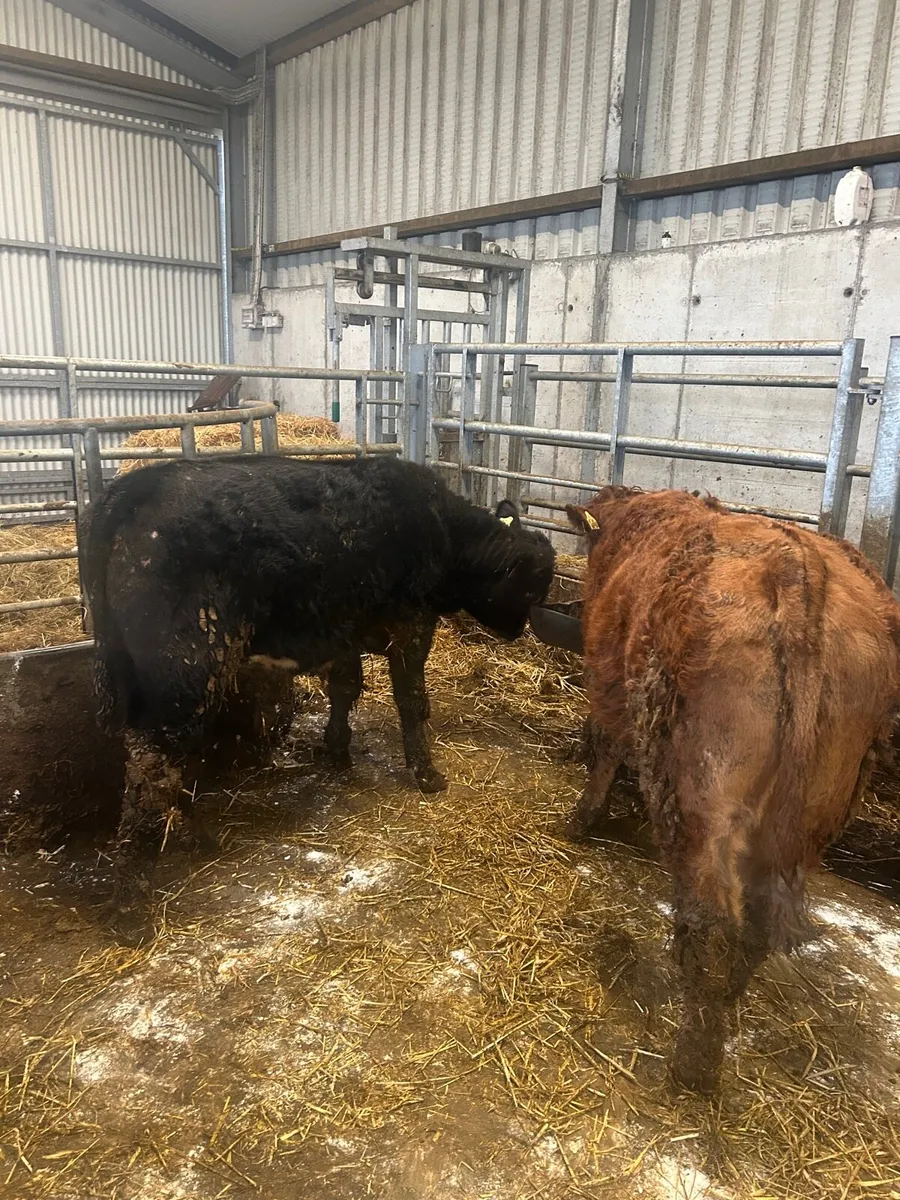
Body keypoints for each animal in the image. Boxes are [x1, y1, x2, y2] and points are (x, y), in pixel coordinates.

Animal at [84, 454, 554, 934]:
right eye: (533, 586)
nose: (520, 631)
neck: (443, 527)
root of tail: (139, 484)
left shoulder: (344, 632)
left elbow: (344, 689)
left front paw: (337, 750)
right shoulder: (411, 626)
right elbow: (410, 700)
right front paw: (426, 773)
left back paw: (200, 837)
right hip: (184, 674)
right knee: (153, 769)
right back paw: (130, 908)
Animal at [565, 486, 900, 1094]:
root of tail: (797, 567)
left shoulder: (605, 675)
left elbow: (604, 745)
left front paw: (583, 818)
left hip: (703, 797)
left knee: (713, 923)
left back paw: (692, 1063)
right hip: (817, 812)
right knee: (758, 926)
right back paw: (724, 1008)